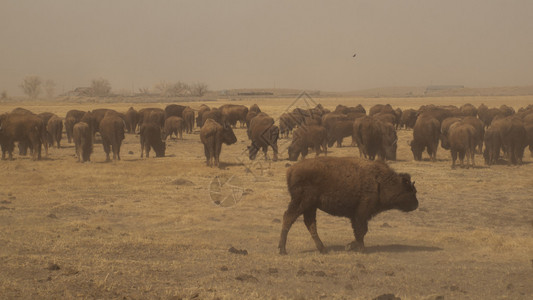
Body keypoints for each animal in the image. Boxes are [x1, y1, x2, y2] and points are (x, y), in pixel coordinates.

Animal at [276, 156, 418, 254]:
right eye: (410, 191)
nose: (416, 204)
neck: (380, 181)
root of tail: (291, 170)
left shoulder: (357, 216)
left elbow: (360, 231)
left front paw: (351, 246)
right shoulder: (361, 213)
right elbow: (361, 230)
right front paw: (360, 249)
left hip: (310, 206)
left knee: (310, 223)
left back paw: (323, 249)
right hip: (302, 203)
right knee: (289, 218)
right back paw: (283, 250)